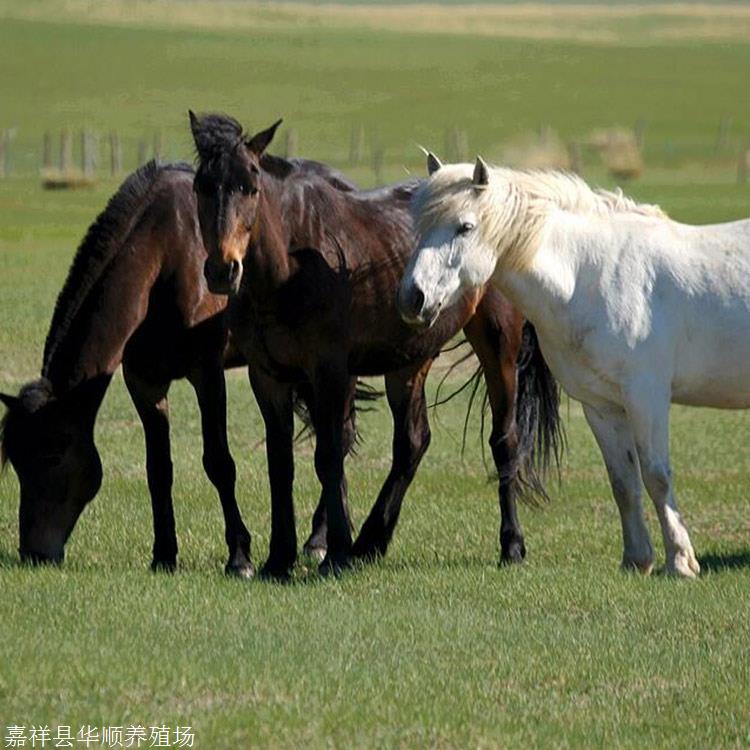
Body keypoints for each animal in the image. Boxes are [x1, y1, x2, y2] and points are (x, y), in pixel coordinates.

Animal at [0, 157, 356, 568]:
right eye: (18, 462)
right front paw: (164, 555)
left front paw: (239, 556)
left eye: (54, 454)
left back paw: (320, 538)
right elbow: (159, 469)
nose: (33, 552)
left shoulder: (207, 373)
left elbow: (219, 462)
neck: (163, 258)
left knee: (341, 435)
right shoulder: (143, 382)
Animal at [189, 113, 564, 580]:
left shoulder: (329, 371)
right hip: (410, 359)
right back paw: (371, 540)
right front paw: (279, 558)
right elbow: (281, 462)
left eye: (251, 187)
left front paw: (334, 554)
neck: (289, 267)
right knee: (412, 443)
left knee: (504, 440)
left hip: (499, 345)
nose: (223, 270)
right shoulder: (268, 376)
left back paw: (510, 544)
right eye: (201, 186)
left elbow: (329, 455)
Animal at [402, 151, 750, 576]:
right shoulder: (601, 407)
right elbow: (623, 482)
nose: (413, 298)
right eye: (419, 225)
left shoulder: (646, 397)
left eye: (464, 227)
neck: (589, 276)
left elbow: (656, 476)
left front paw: (681, 561)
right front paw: (637, 560)